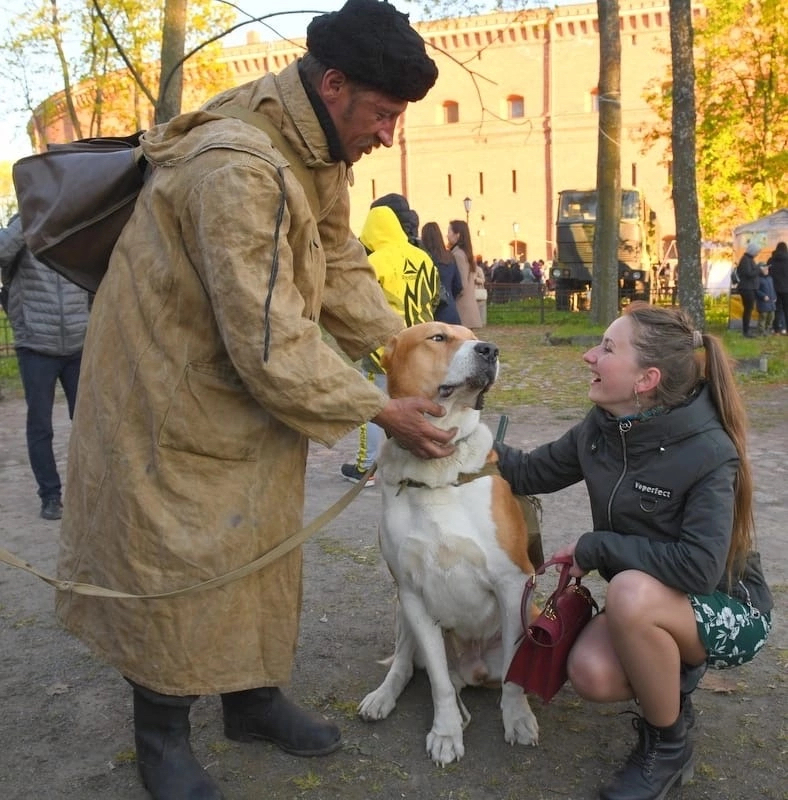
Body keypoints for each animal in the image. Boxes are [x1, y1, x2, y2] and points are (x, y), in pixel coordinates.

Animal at [358, 322, 540, 764]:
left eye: (473, 336)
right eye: (438, 338)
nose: (489, 350)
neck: (437, 469)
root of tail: (472, 670)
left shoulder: (513, 583)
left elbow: (514, 674)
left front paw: (517, 718)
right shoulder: (411, 593)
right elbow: (439, 683)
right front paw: (445, 732)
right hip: (402, 612)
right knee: (407, 664)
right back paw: (382, 697)